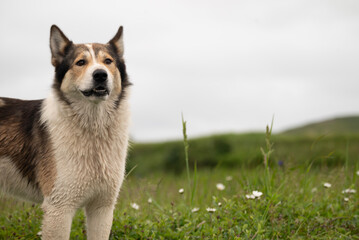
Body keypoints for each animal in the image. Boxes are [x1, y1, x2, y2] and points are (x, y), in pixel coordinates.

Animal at [0, 25, 131, 239]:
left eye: (108, 61)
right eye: (81, 62)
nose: (100, 74)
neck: (92, 128)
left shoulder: (102, 207)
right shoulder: (59, 208)